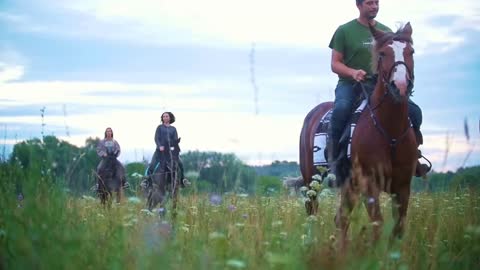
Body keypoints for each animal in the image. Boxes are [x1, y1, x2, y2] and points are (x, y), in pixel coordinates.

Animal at [300, 23, 416, 249]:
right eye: (383, 53)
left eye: (411, 52)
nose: (400, 87)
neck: (390, 130)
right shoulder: (369, 183)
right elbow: (378, 223)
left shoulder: (403, 185)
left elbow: (398, 227)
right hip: (312, 180)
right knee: (312, 210)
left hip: (349, 185)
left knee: (341, 218)